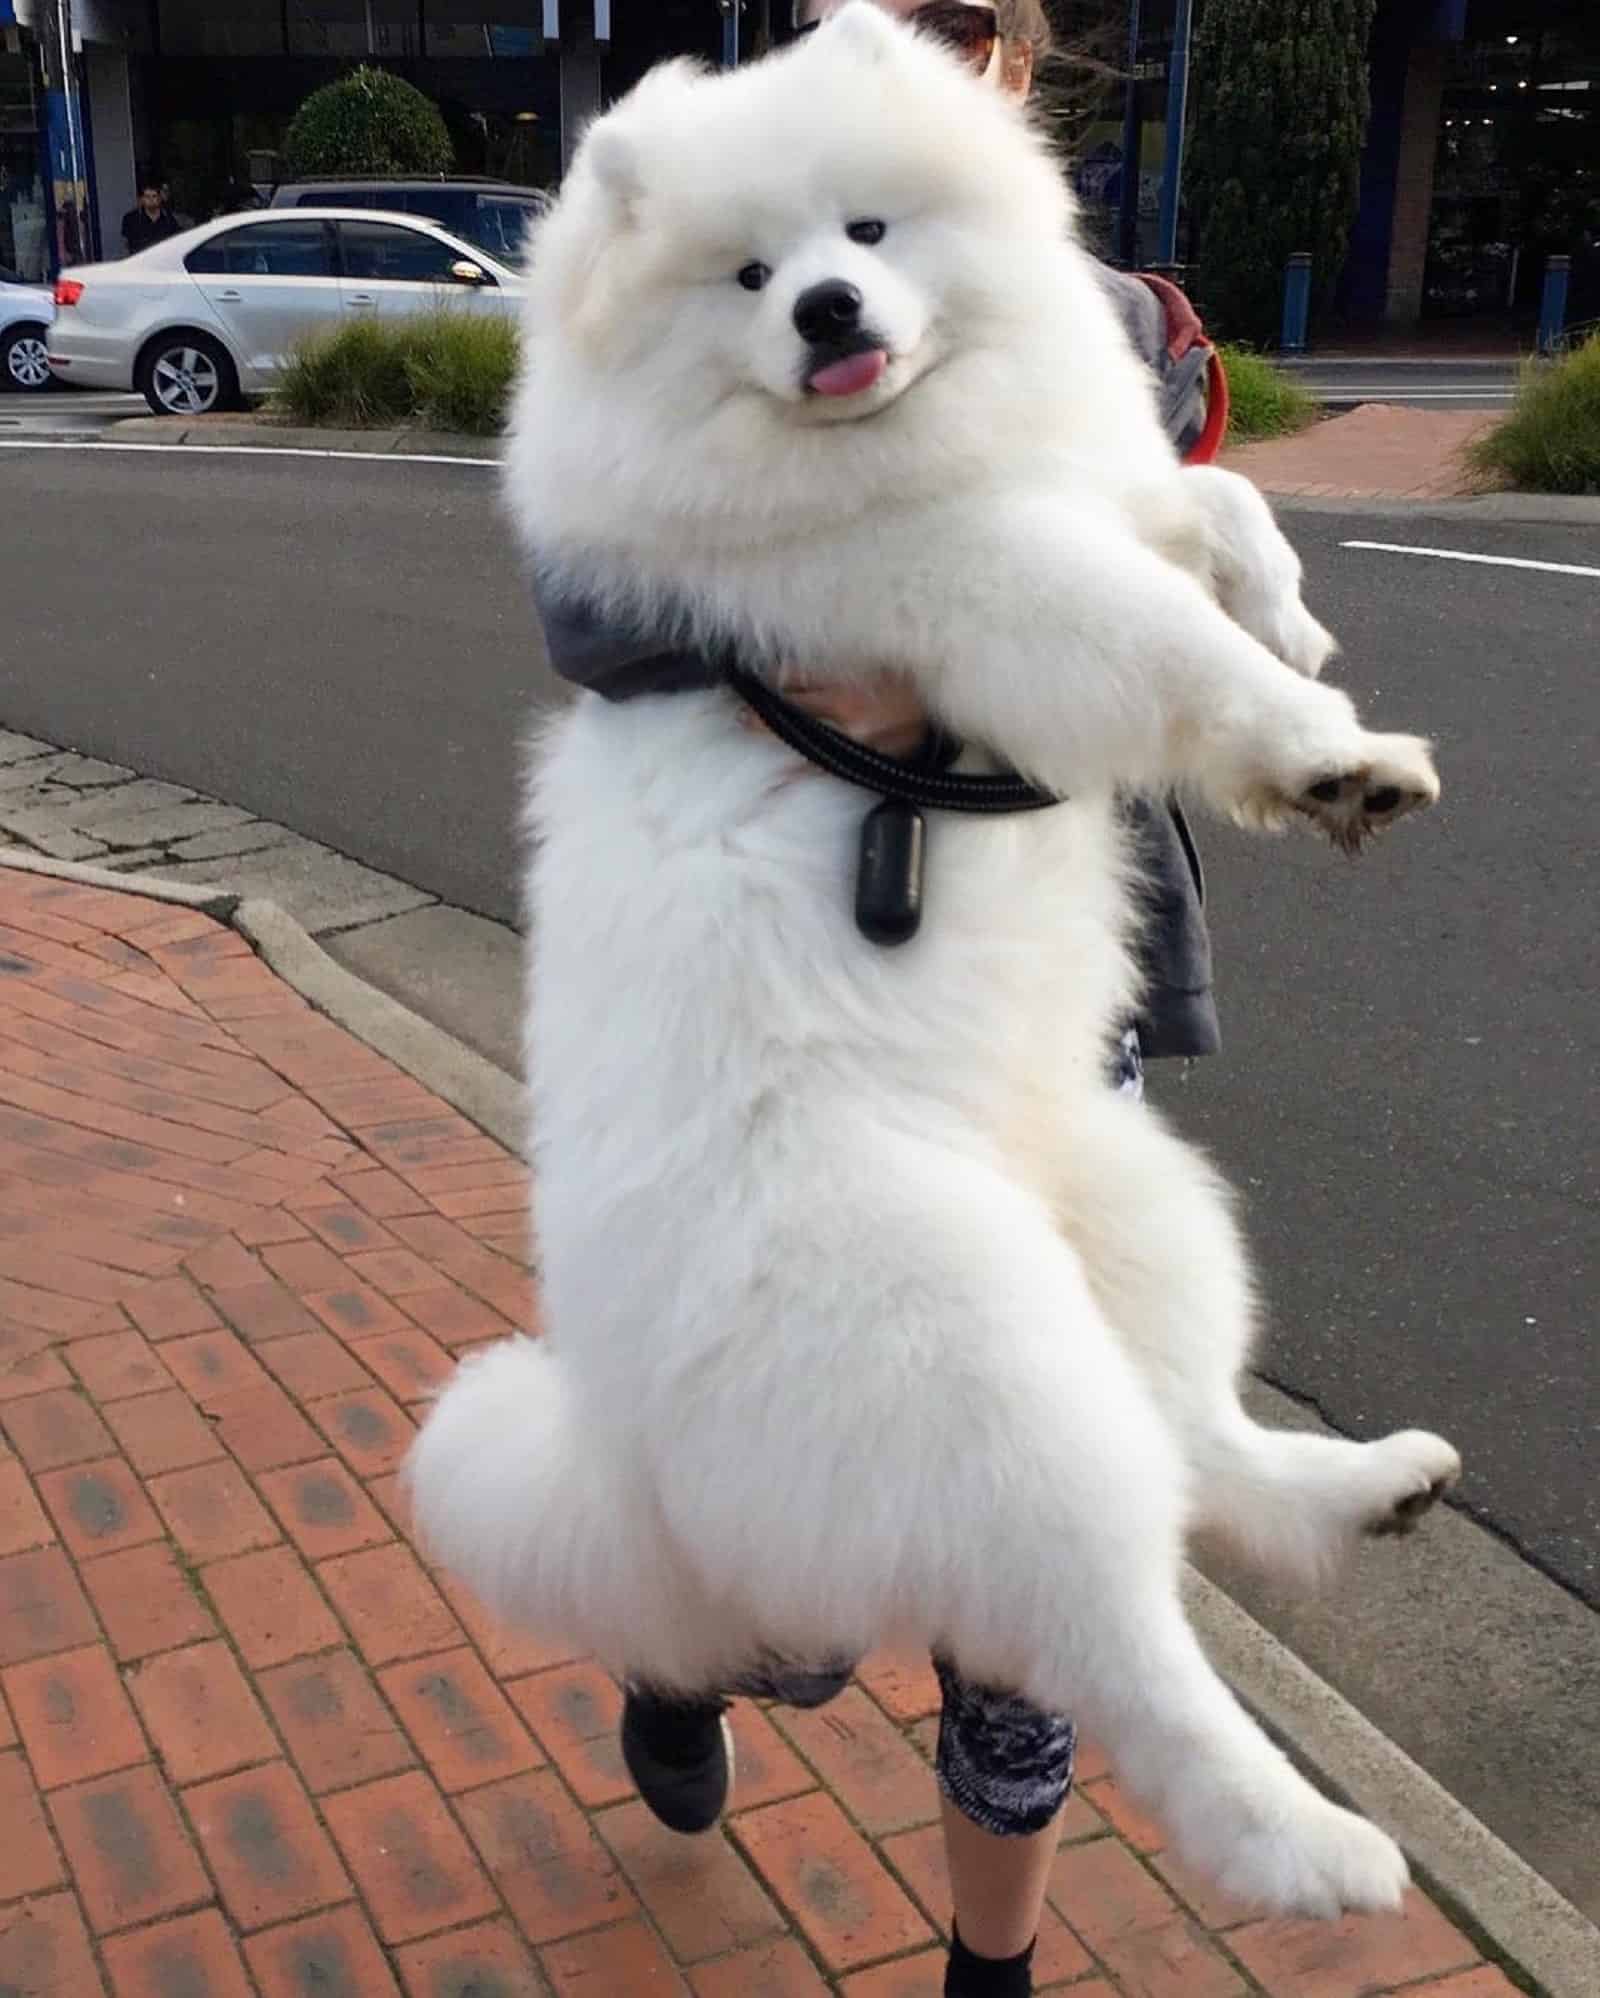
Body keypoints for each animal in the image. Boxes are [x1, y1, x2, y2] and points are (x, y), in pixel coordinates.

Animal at [405, 7, 1454, 1926]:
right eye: (750, 277)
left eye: (867, 234)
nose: (828, 312)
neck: (906, 450)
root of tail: (645, 1464)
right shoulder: (1009, 583)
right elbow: (1177, 641)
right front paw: (1330, 754)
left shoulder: (1085, 485)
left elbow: (1220, 497)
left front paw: (1300, 636)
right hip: (979, 1368)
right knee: (1126, 1636)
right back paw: (1311, 1845)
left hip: (1137, 1199)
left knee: (1202, 1444)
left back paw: (1364, 1491)